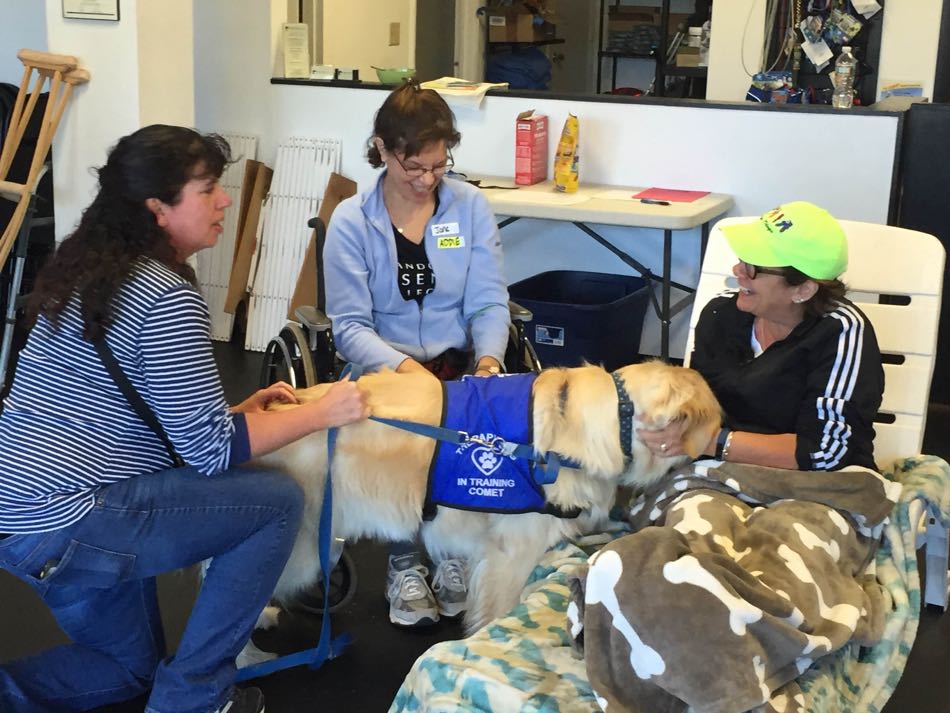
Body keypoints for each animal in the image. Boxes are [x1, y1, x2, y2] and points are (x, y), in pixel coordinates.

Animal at [249, 358, 716, 644]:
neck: (614, 421)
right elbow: (498, 607)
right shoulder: (513, 550)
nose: (716, 450)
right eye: (709, 429)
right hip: (305, 544)